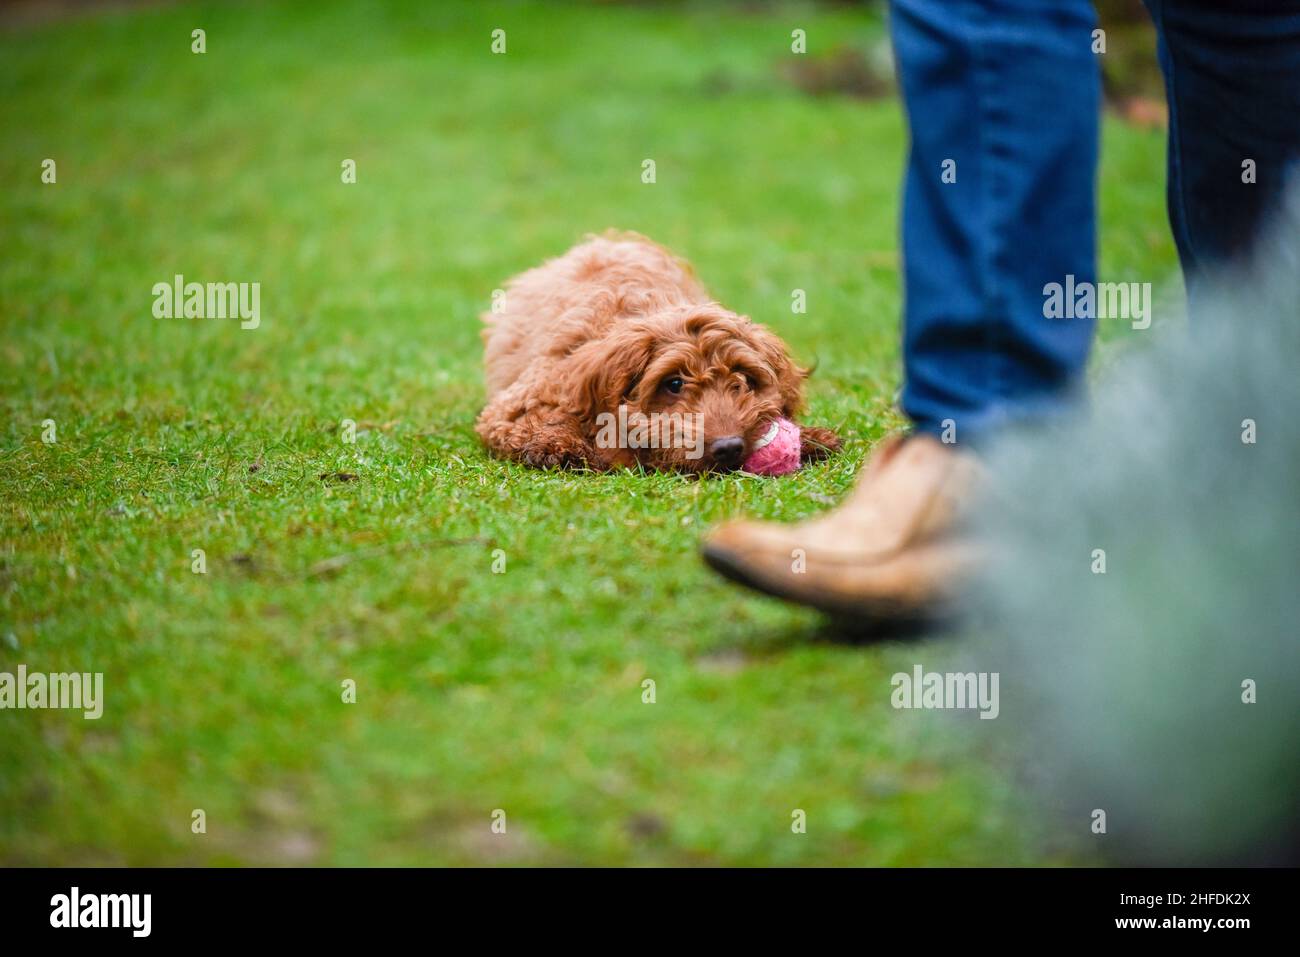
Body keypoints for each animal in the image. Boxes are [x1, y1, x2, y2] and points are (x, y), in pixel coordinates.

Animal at [478, 231, 842, 470]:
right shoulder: (525, 396)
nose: (729, 448)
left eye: (743, 380)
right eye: (674, 384)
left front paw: (812, 437)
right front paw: (556, 444)